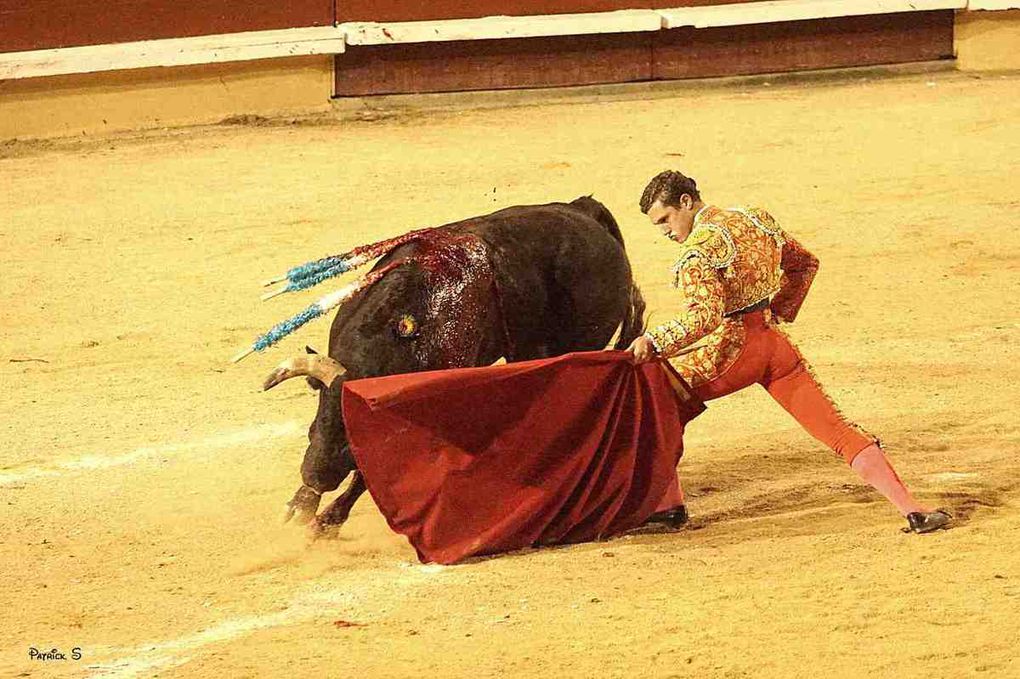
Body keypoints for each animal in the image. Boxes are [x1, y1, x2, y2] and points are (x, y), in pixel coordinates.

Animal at [263, 195, 644, 534]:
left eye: (348, 438)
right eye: (317, 422)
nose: (315, 476)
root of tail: (584, 209)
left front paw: (325, 520)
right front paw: (301, 506)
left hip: (577, 343)